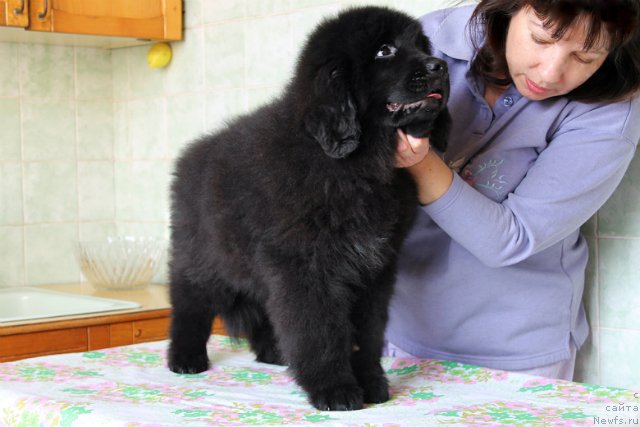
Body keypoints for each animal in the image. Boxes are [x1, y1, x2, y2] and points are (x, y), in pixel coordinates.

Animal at [169, 5, 450, 412]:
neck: (356, 164)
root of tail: (190, 155)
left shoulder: (373, 269)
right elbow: (319, 331)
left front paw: (371, 383)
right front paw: (335, 390)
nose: (439, 65)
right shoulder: (306, 267)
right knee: (190, 302)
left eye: (421, 45)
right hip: (202, 258)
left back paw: (273, 352)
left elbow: (368, 332)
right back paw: (185, 357)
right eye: (384, 51)